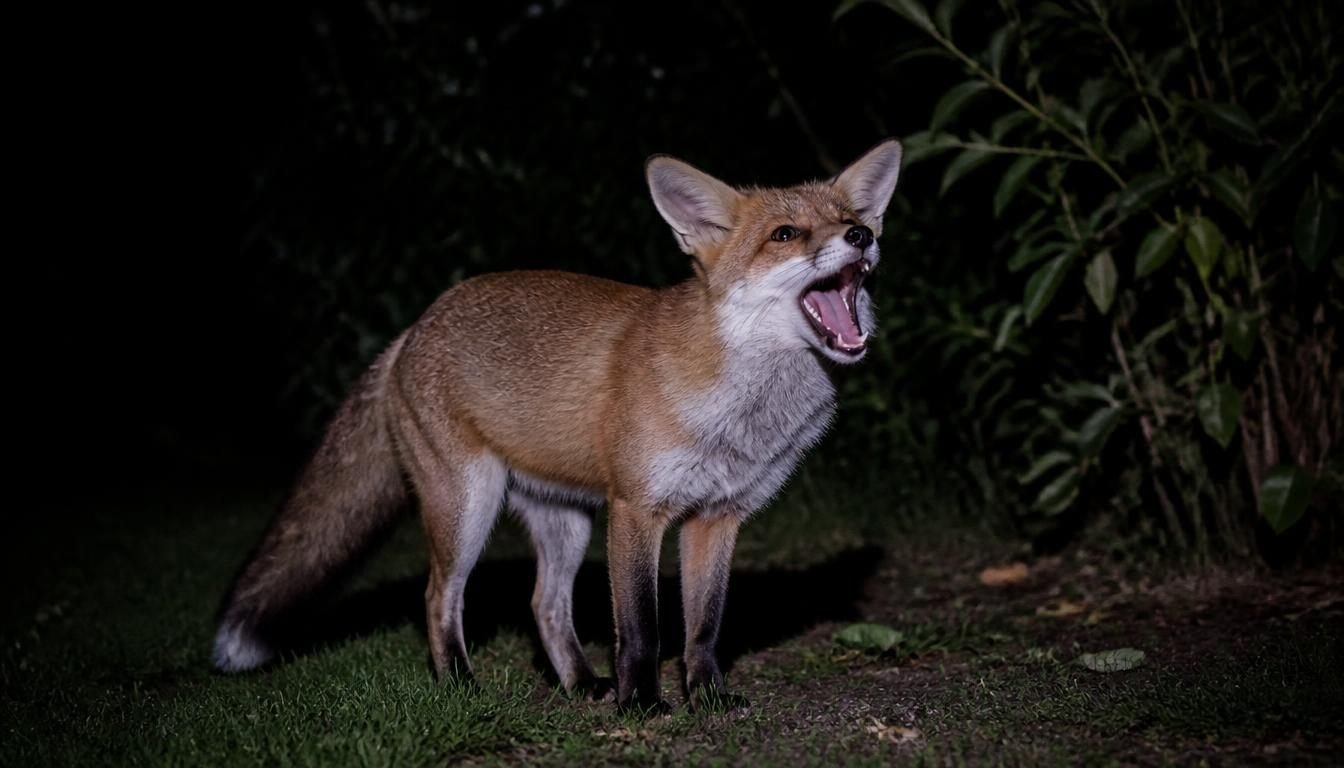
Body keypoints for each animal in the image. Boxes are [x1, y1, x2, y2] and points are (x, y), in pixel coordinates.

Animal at [214, 139, 903, 712]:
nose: (861, 235)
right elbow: (643, 628)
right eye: (785, 233)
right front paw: (642, 704)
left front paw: (706, 698)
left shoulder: (717, 517)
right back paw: (459, 686)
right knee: (439, 598)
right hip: (467, 508)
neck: (744, 406)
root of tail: (414, 327)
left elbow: (704, 628)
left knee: (543, 604)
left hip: (565, 522)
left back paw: (578, 683)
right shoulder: (636, 509)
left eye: (850, 217)